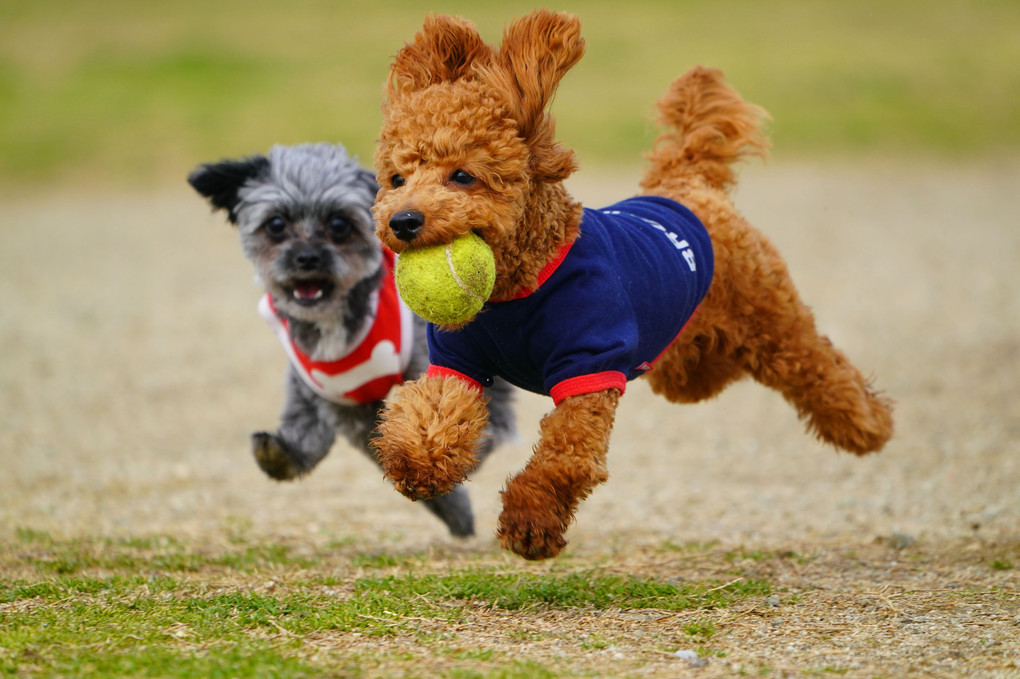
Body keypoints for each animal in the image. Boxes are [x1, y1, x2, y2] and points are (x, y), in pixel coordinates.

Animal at [188, 142, 514, 534]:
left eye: (339, 225)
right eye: (276, 225)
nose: (306, 258)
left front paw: (453, 499)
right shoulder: (335, 398)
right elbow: (311, 435)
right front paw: (279, 455)